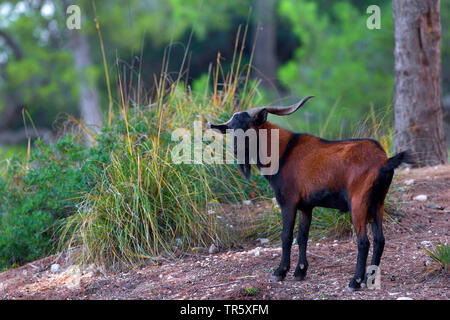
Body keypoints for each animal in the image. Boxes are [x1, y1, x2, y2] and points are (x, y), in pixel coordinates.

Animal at [207, 95, 412, 292]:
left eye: (248, 126)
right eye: (231, 128)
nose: (236, 149)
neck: (284, 151)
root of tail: (384, 161)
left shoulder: (288, 201)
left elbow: (286, 236)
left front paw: (280, 272)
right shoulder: (306, 206)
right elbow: (302, 236)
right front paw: (300, 272)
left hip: (358, 203)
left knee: (364, 242)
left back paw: (354, 282)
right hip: (378, 203)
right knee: (379, 240)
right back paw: (369, 279)